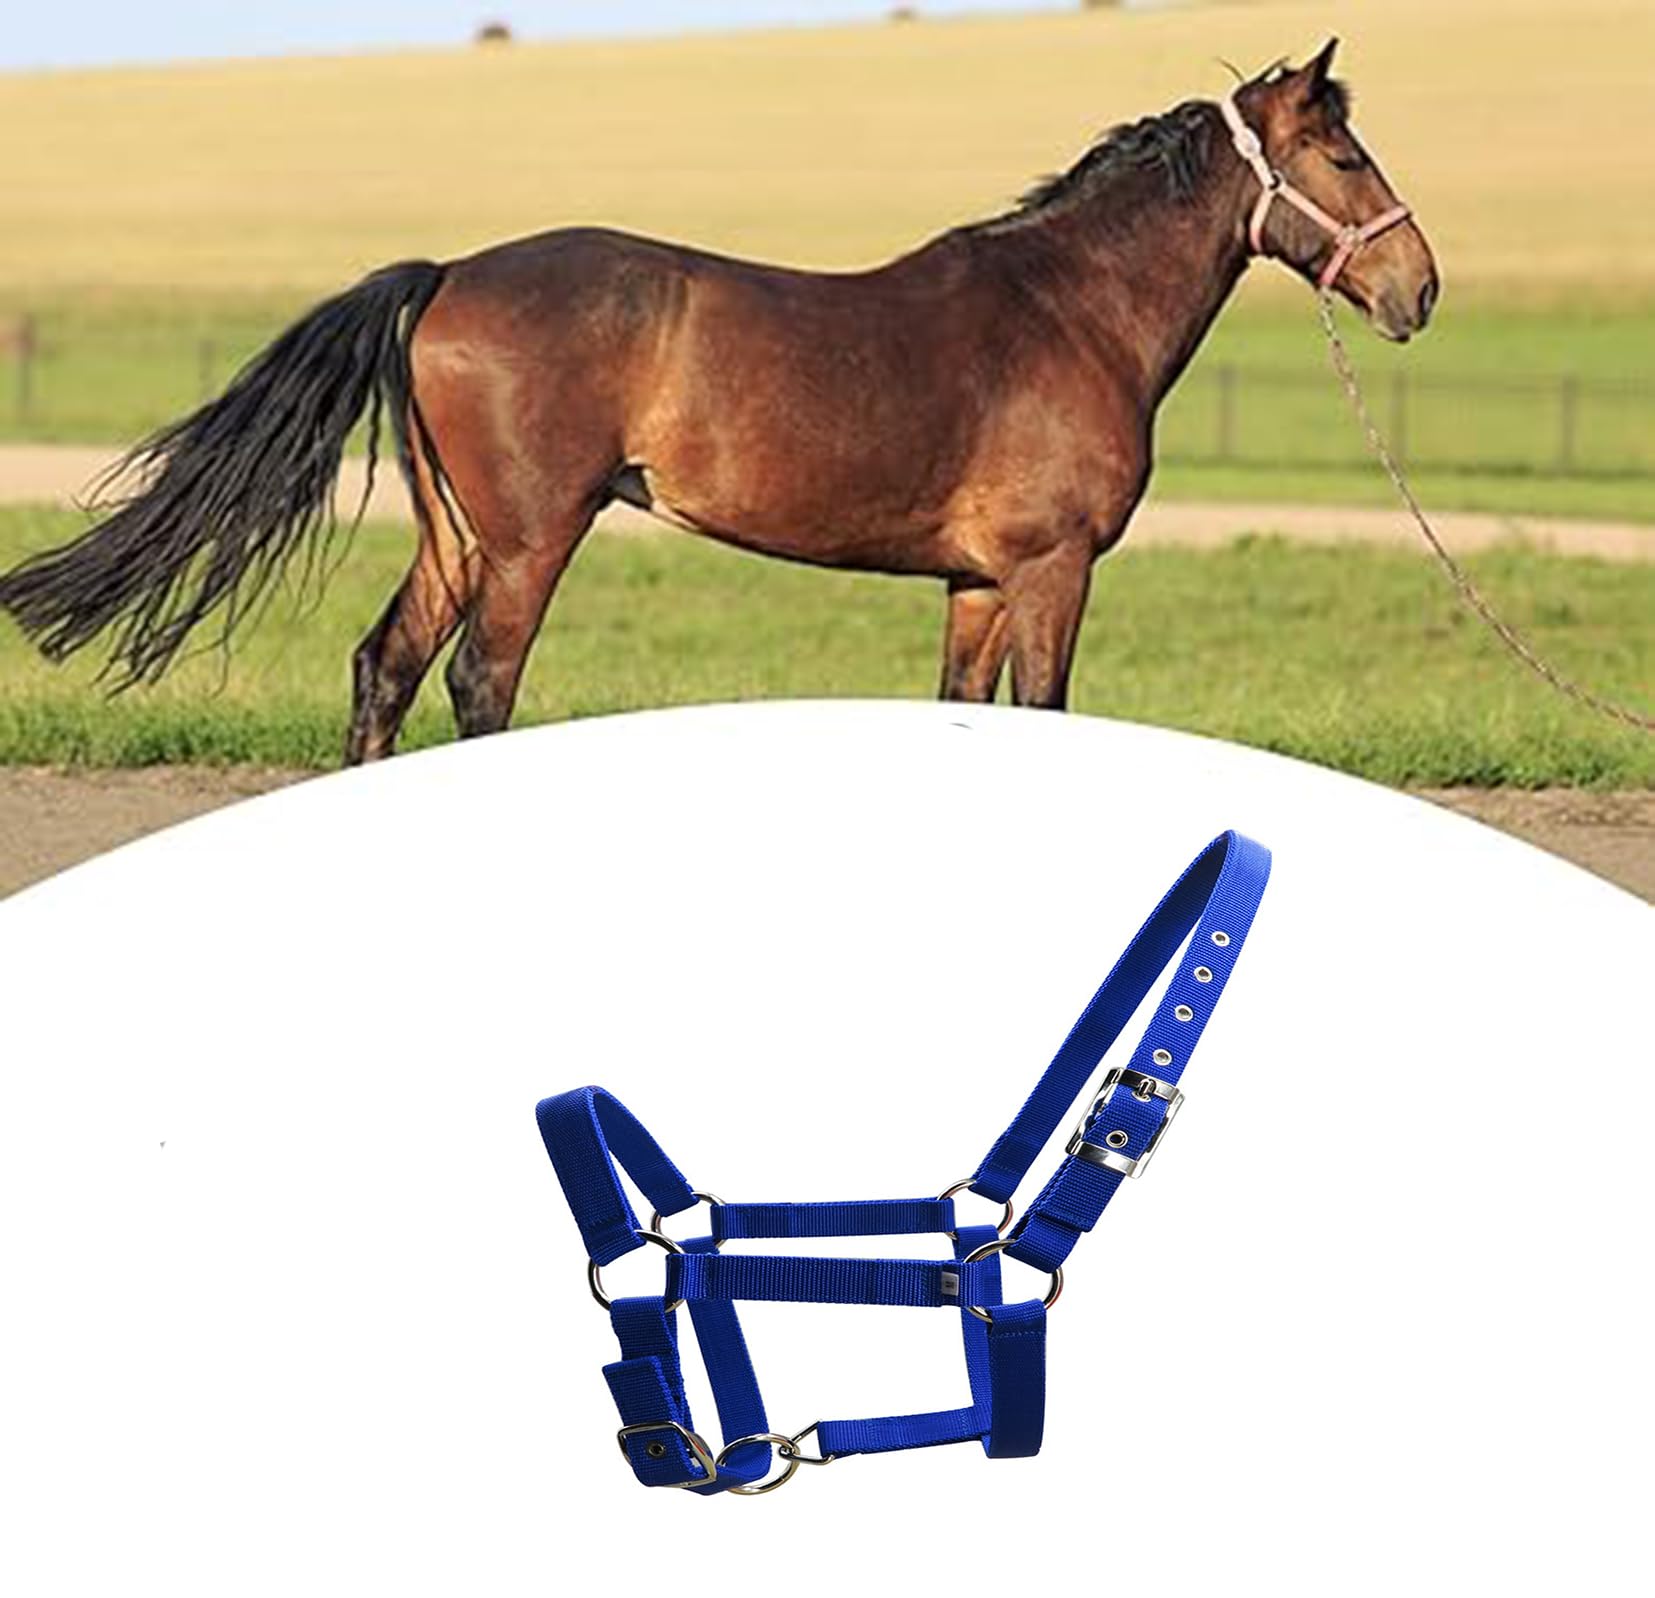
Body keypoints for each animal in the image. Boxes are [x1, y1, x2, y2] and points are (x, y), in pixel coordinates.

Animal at [0, 39, 1437, 764]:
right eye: (1341, 154)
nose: (1416, 287)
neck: (1065, 311)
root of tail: (450, 273)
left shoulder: (976, 583)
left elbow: (967, 717)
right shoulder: (1049, 569)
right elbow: (1044, 715)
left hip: (454, 535)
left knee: (386, 669)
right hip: (529, 538)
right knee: (477, 681)